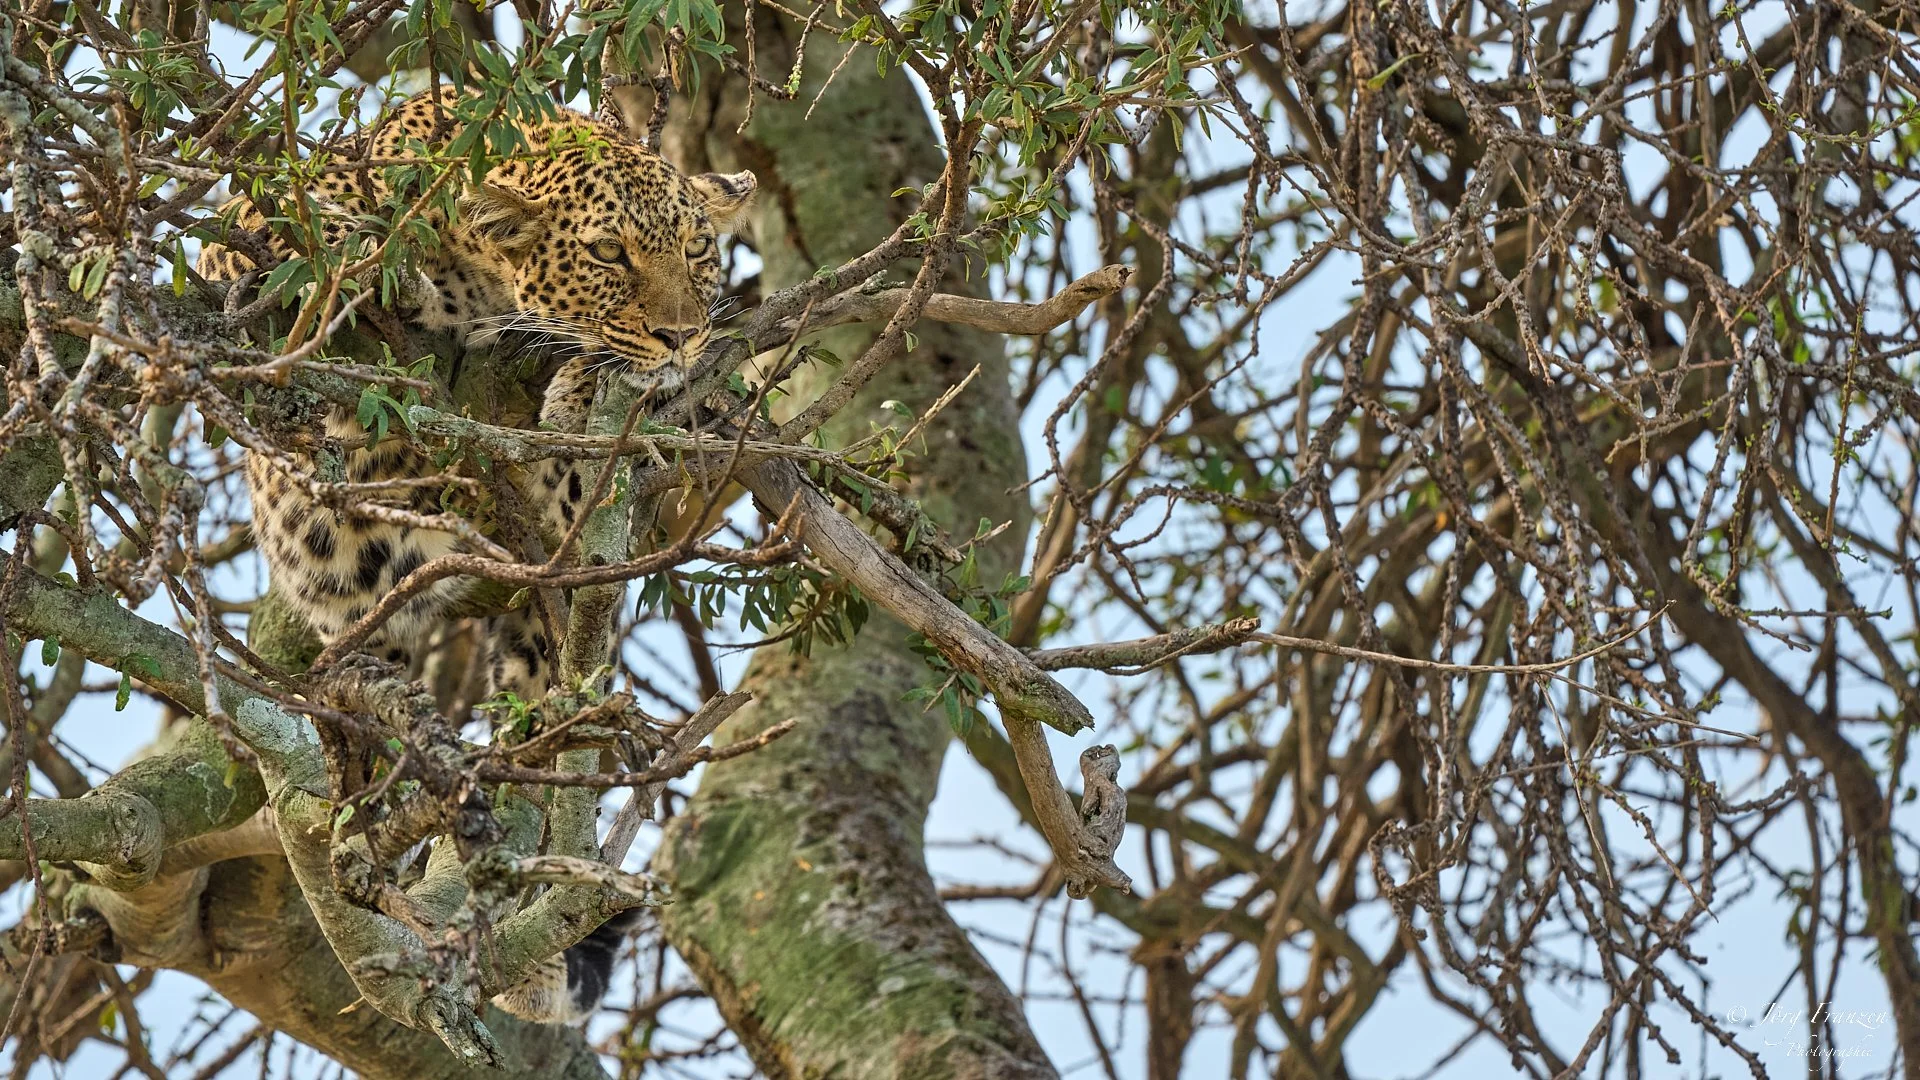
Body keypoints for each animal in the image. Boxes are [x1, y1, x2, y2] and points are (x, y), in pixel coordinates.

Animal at [197, 87, 755, 1025]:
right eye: (608, 253)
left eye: (697, 249)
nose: (682, 334)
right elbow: (272, 228)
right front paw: (361, 258)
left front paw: (583, 391)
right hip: (337, 567)